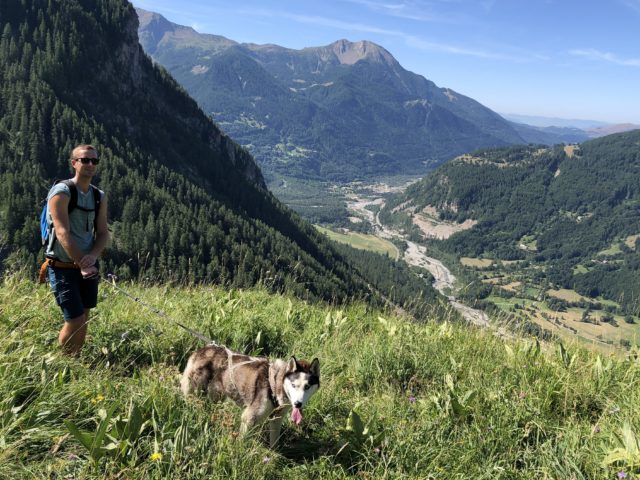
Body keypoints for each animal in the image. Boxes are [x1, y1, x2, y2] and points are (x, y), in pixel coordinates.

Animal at [180, 344, 320, 446]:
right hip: (195, 394)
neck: (276, 384)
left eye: (307, 387)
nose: (298, 404)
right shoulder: (249, 419)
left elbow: (274, 442)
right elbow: (242, 441)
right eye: (293, 385)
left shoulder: (276, 419)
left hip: (216, 396)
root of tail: (201, 350)